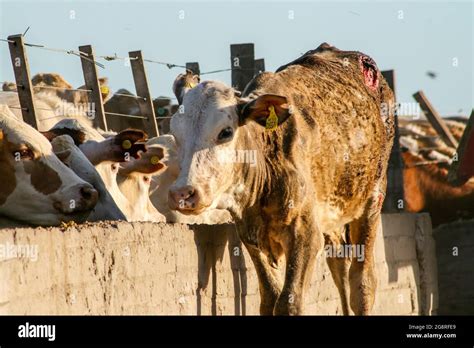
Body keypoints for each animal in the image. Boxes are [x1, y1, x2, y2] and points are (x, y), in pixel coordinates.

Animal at [168, 43, 394, 316]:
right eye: (175, 133)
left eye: (225, 132)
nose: (183, 193)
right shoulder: (250, 235)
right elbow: (270, 298)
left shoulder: (305, 235)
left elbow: (289, 301)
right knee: (339, 266)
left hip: (372, 200)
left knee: (362, 284)